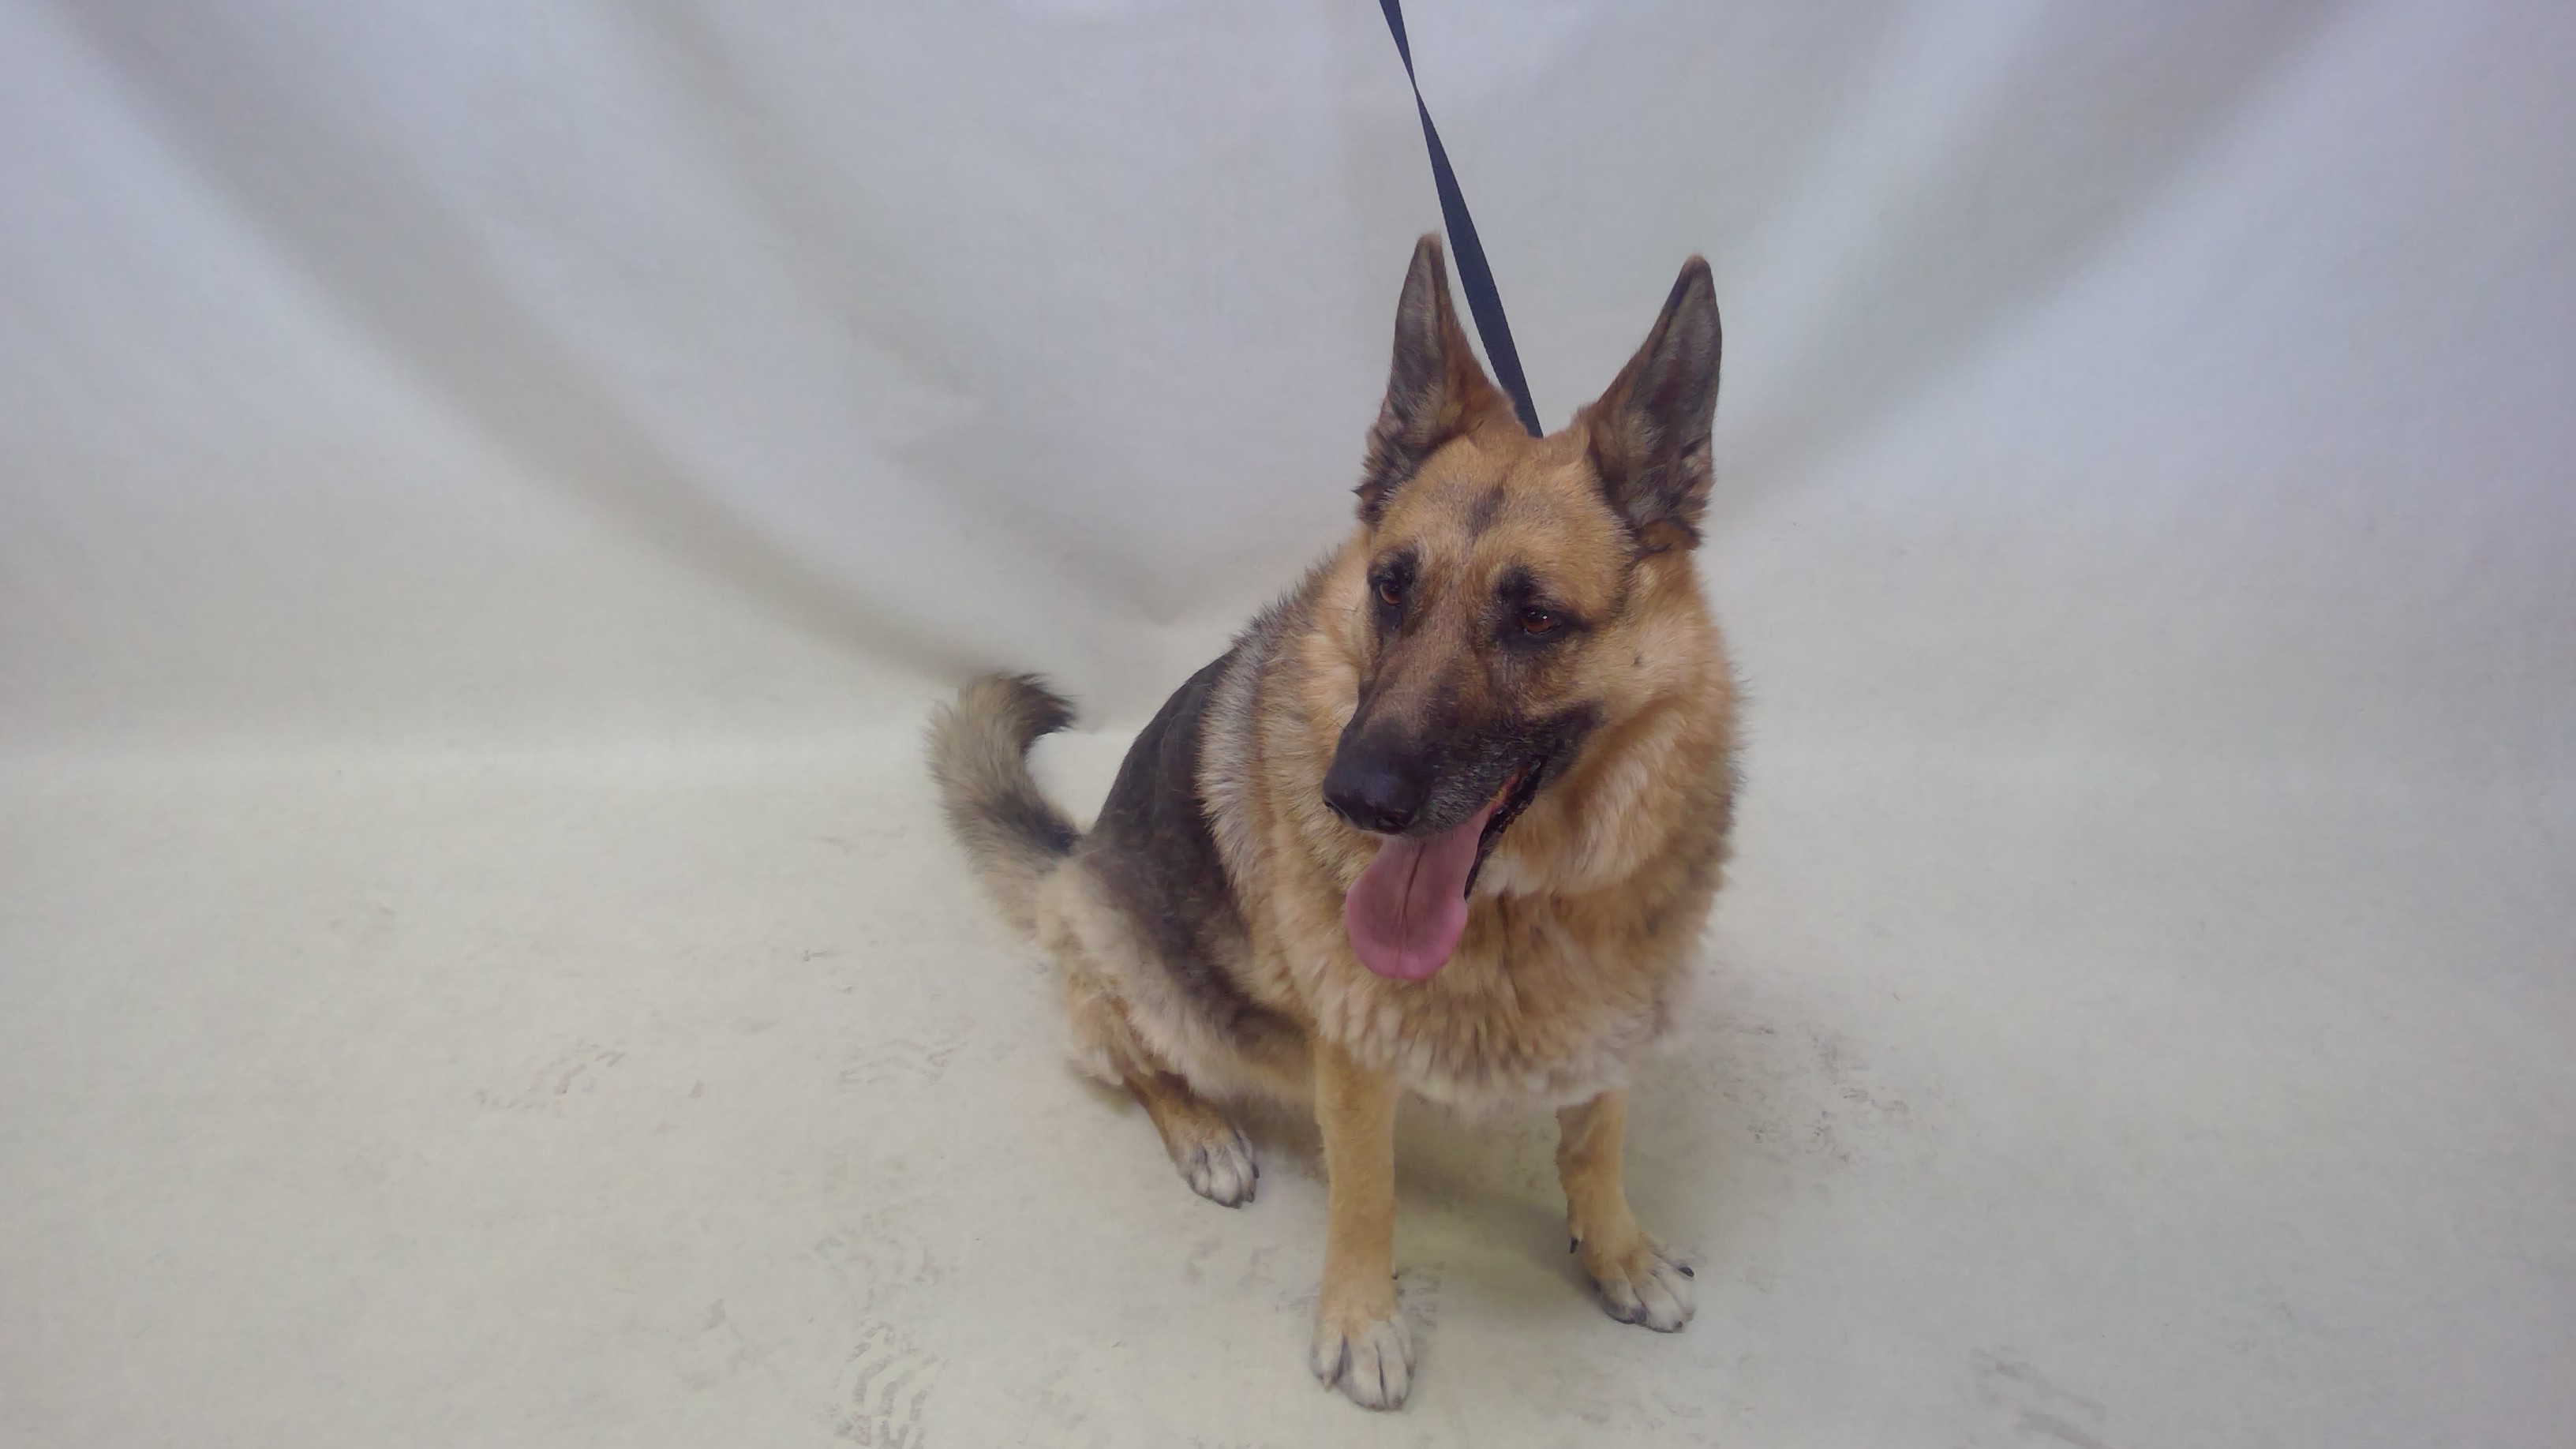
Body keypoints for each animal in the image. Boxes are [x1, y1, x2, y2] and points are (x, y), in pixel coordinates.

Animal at [928, 235, 1738, 1410]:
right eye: (1391, 588)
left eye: (1535, 618)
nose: (1352, 795)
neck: (1525, 904)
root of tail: (1073, 857)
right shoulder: (1351, 1059)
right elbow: (1367, 1190)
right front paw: (1361, 1323)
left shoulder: (1616, 1012)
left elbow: (1597, 1145)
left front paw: (1619, 1254)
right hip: (1134, 972)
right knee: (1137, 1058)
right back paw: (1205, 1135)